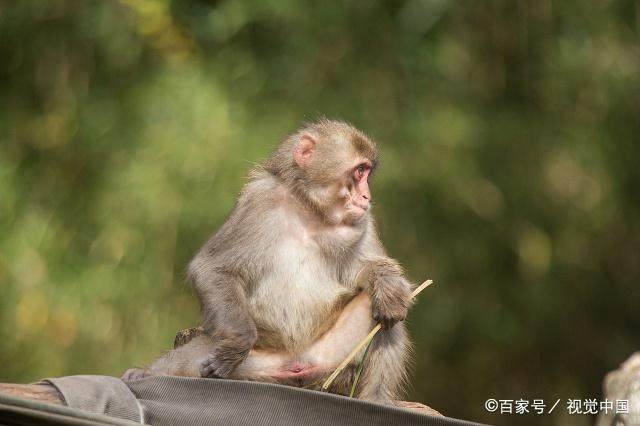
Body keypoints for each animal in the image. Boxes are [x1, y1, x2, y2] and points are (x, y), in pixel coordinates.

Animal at [124, 118, 416, 404]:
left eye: (367, 172)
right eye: (359, 171)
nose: (367, 196)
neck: (309, 210)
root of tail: (296, 364)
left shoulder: (363, 220)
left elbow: (366, 271)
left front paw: (386, 282)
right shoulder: (259, 200)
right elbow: (213, 268)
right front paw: (237, 344)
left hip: (335, 360)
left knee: (382, 316)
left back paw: (377, 398)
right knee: (192, 358)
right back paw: (145, 374)